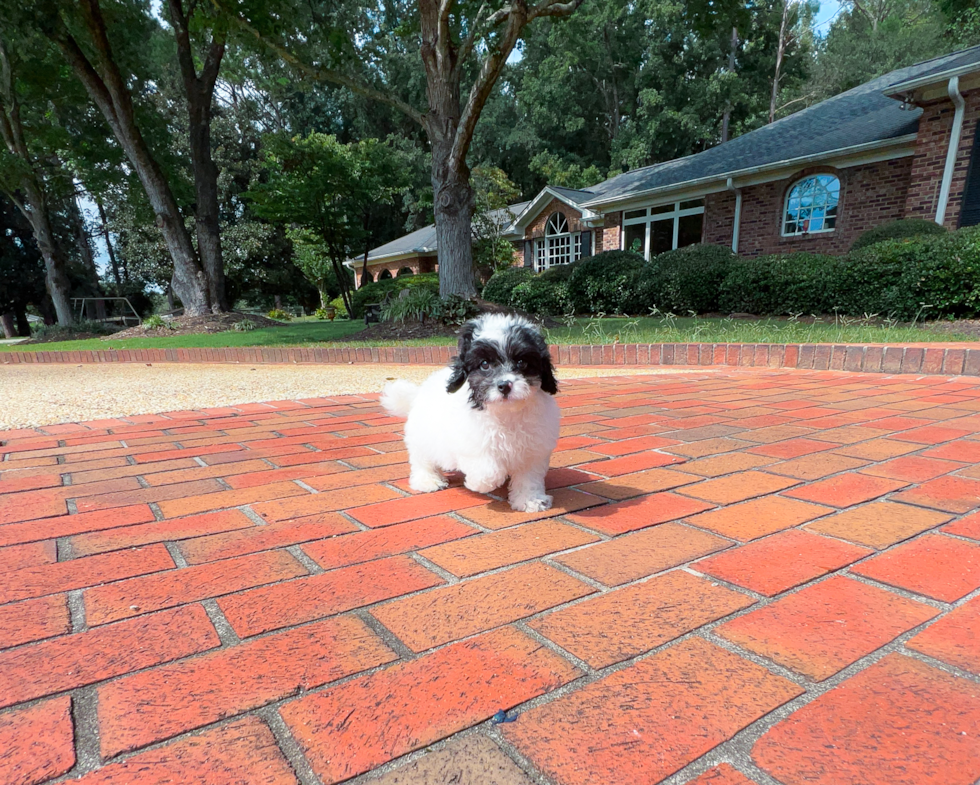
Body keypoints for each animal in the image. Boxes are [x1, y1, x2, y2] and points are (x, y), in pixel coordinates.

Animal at [380, 314, 560, 516]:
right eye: (484, 364)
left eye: (522, 362)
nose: (504, 385)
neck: (506, 413)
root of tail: (417, 394)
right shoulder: (471, 443)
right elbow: (489, 470)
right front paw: (478, 484)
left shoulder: (533, 450)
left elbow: (529, 478)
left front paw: (530, 500)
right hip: (423, 437)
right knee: (422, 460)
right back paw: (428, 481)